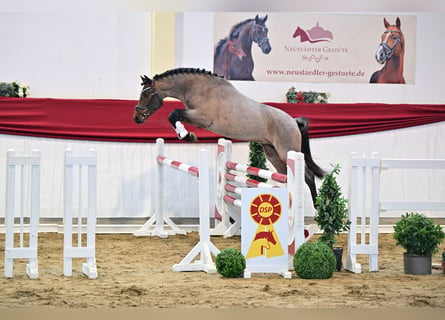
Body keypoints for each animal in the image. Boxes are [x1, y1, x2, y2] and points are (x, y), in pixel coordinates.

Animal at [132, 67, 322, 204]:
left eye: (146, 94)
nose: (136, 118)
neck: (198, 87)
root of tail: (293, 121)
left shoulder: (202, 117)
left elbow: (173, 114)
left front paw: (187, 135)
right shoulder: (197, 119)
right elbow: (175, 116)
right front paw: (186, 134)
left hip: (287, 151)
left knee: (307, 176)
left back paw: (317, 209)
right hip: (273, 153)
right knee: (286, 177)